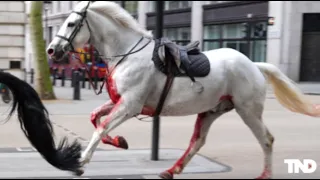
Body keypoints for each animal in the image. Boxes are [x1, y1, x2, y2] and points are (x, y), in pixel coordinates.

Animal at [45, 1, 320, 179]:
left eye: (71, 24)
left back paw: (264, 174)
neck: (127, 55)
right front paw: (119, 142)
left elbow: (101, 126)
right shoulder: (120, 102)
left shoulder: (130, 105)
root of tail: (254, 65)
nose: (51, 50)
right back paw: (171, 170)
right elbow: (95, 118)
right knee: (198, 141)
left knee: (266, 139)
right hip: (211, 110)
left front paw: (81, 162)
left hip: (248, 110)